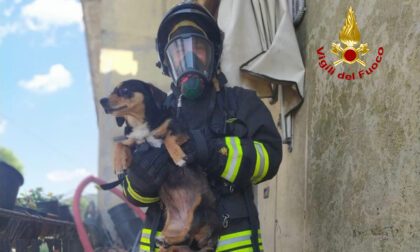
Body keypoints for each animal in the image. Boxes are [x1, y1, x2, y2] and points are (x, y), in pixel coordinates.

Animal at [100, 79, 221, 251]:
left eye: (124, 90)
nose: (102, 101)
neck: (139, 124)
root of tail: (213, 237)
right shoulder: (135, 149)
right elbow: (121, 144)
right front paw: (118, 164)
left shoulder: (182, 132)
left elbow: (169, 138)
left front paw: (178, 157)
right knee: (182, 240)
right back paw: (165, 241)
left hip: (198, 212)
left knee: (189, 233)